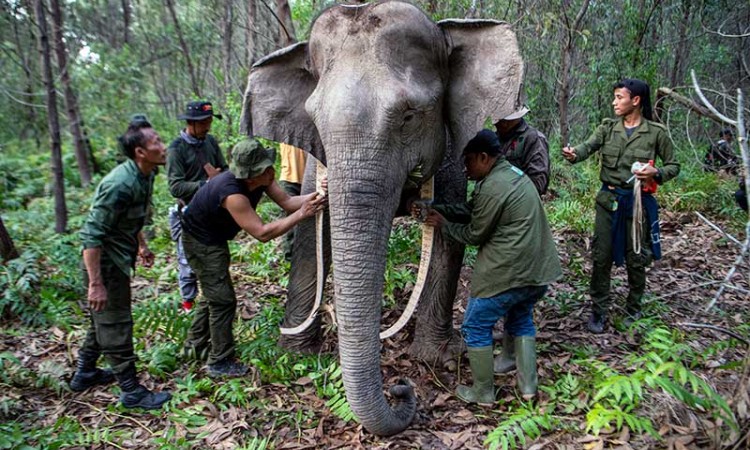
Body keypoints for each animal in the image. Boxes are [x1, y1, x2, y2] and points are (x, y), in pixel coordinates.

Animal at [241, 0, 524, 436]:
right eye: (314, 119)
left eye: (409, 116)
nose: (400, 388)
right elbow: (310, 234)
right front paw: (294, 354)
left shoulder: (452, 153)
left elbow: (451, 235)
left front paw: (434, 359)